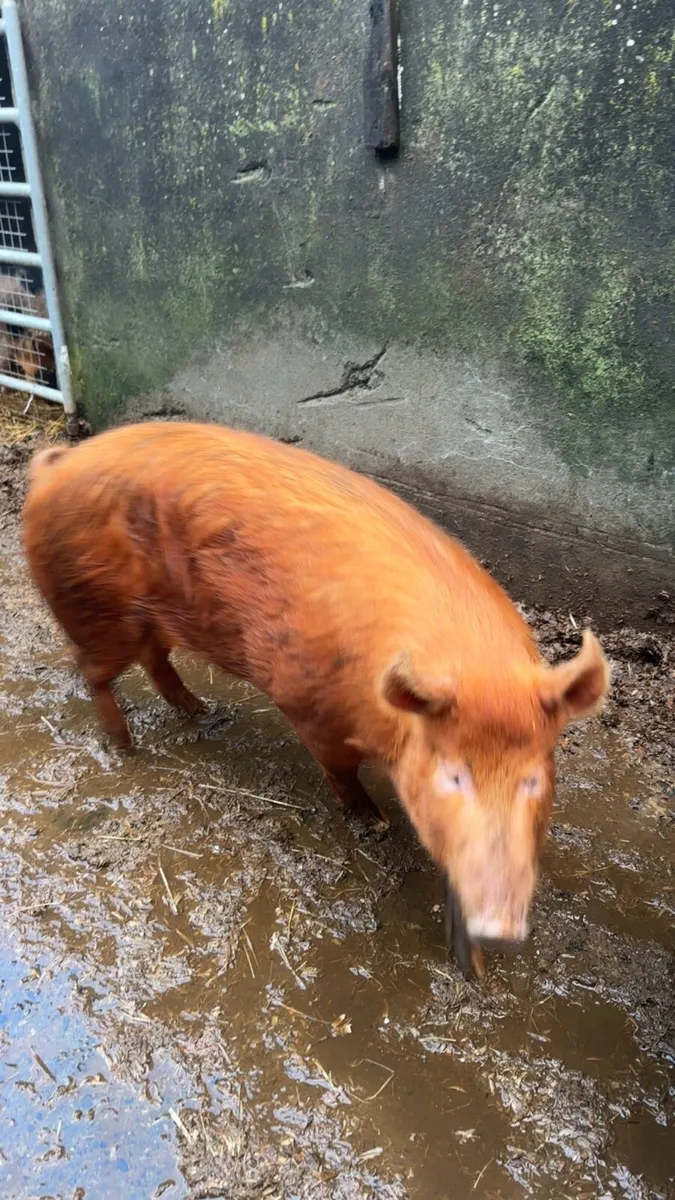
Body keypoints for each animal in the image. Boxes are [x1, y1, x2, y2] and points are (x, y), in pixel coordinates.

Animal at [22, 421, 610, 976]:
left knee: (155, 659)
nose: (500, 928)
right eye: (453, 776)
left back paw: (205, 712)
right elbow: (339, 773)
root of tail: (57, 463)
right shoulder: (308, 705)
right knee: (92, 674)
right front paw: (375, 821)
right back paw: (126, 747)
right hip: (94, 610)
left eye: (533, 779)